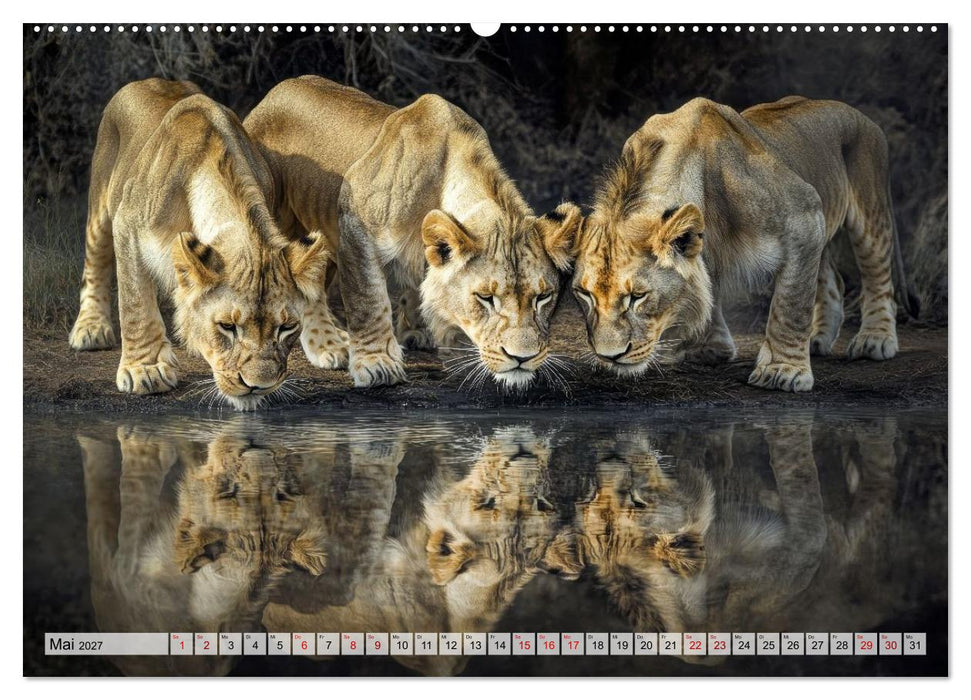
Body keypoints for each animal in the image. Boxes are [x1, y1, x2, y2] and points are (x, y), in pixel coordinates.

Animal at [68, 78, 329, 409]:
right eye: (227, 326)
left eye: (287, 327)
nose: (258, 385)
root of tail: (148, 80)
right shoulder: (127, 224)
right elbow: (135, 302)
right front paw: (145, 370)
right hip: (101, 200)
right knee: (95, 260)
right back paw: (90, 329)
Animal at [244, 75, 582, 390]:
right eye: (485, 298)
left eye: (543, 297)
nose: (522, 358)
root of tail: (276, 91)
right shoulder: (355, 224)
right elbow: (368, 300)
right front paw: (377, 364)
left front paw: (419, 330)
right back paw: (328, 345)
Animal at [571, 96, 918, 392]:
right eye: (585, 294)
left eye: (638, 297)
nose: (609, 356)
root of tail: (859, 114)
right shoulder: (709, 250)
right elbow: (709, 292)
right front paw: (709, 349)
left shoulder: (805, 216)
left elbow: (791, 305)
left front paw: (782, 371)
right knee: (832, 280)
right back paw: (817, 339)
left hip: (869, 212)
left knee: (877, 274)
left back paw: (874, 339)